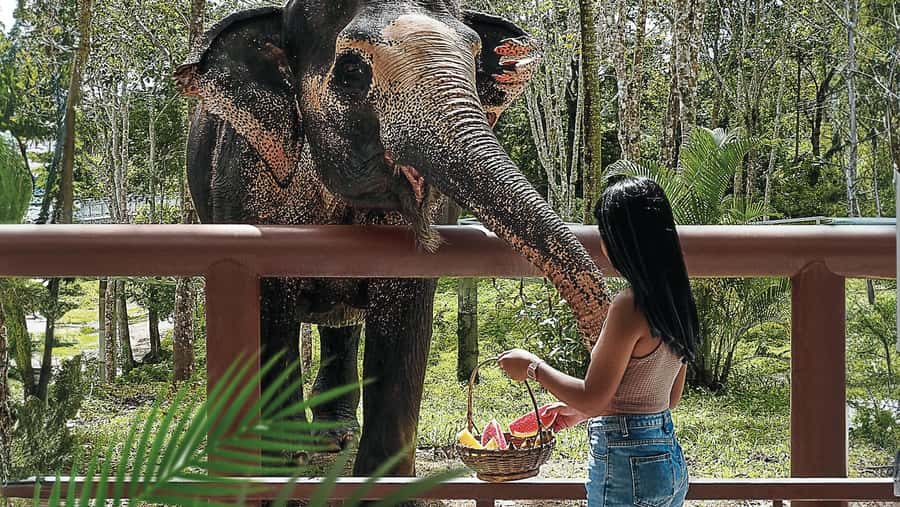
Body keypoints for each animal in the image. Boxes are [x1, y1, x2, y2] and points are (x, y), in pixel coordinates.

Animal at [175, 0, 610, 478]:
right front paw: (278, 465)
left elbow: (405, 319)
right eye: (351, 70)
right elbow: (267, 321)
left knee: (341, 324)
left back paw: (333, 436)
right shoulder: (246, 184)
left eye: (474, 56)